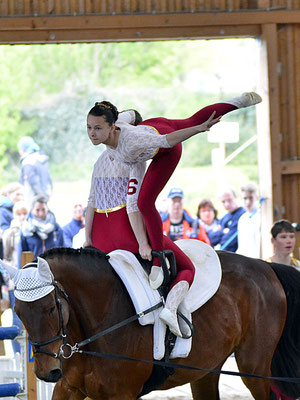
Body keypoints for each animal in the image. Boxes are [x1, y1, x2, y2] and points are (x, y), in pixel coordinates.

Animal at [12, 247, 300, 400]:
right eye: (18, 313)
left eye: (52, 308)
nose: (46, 373)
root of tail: (265, 265)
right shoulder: (68, 388)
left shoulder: (122, 394)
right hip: (207, 370)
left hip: (254, 368)